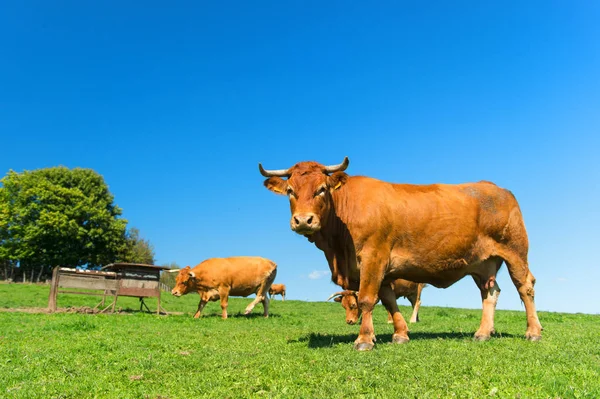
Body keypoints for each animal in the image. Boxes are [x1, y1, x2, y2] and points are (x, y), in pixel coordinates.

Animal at [260, 158, 540, 352]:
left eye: (321, 189)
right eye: (290, 191)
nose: (303, 220)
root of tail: (497, 188)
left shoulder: (373, 257)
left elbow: (367, 299)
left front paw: (364, 340)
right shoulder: (380, 269)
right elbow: (388, 301)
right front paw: (400, 335)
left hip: (515, 251)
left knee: (525, 287)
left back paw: (533, 331)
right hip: (482, 264)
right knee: (490, 293)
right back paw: (483, 332)